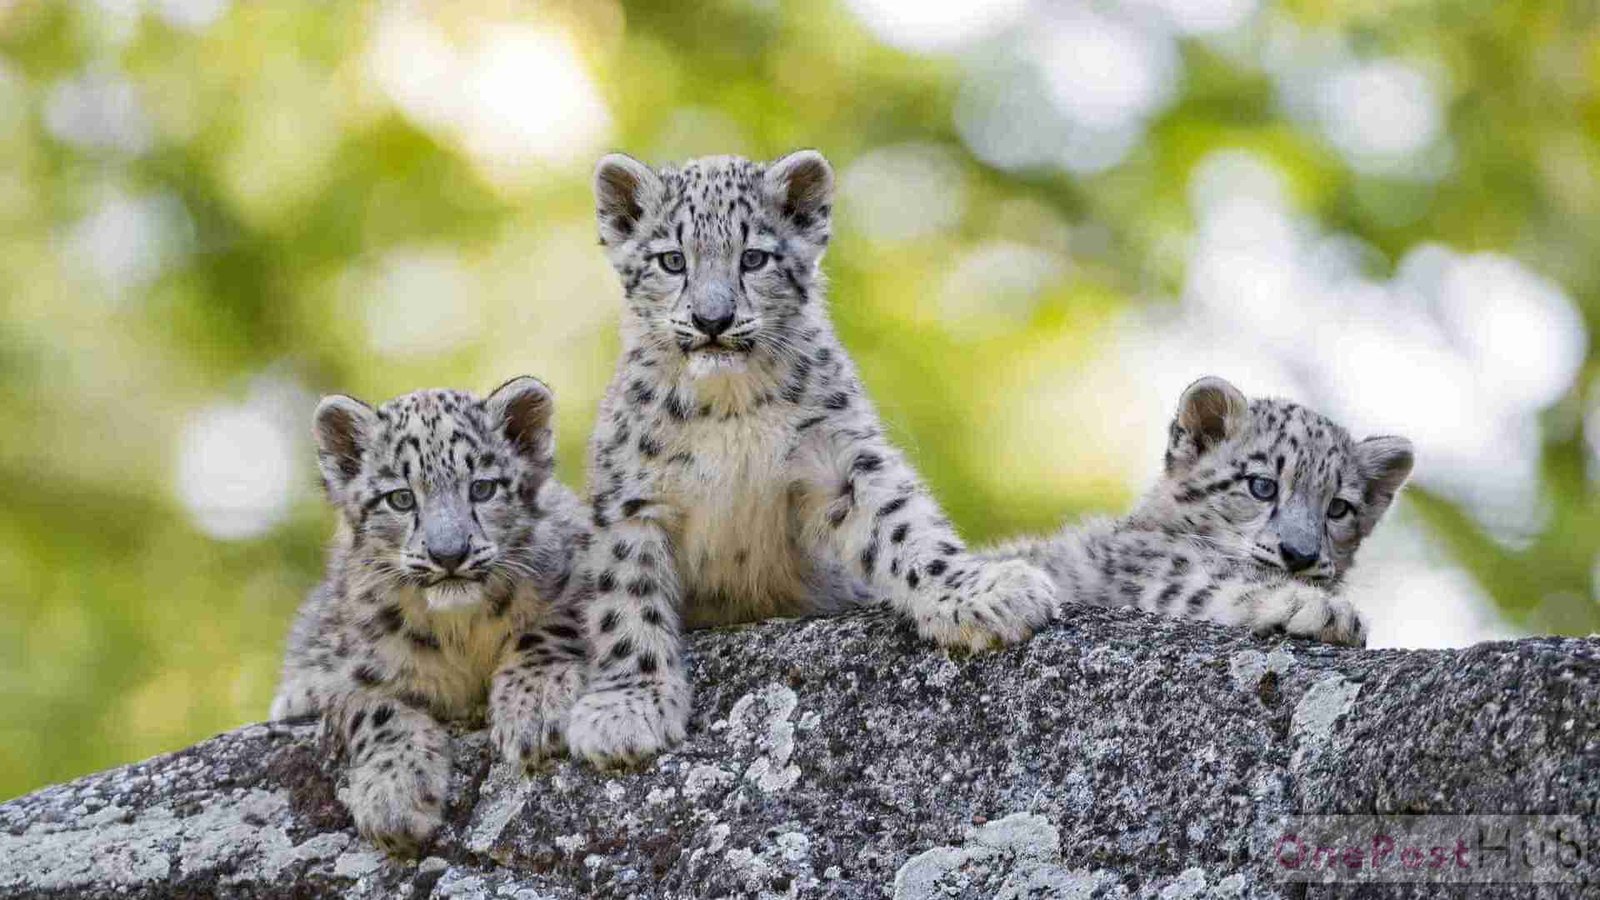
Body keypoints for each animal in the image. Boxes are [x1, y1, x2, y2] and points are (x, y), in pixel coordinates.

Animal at [269, 377, 592, 854]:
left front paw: (534, 706)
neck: (461, 630)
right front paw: (394, 797)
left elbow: (551, 625)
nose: (449, 553)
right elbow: (372, 707)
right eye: (401, 498)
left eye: (482, 488)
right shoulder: (343, 669)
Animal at [564, 150, 1057, 765]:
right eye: (672, 260)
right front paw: (627, 710)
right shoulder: (633, 498)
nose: (711, 320)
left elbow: (904, 526)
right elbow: (627, 597)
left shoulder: (841, 457)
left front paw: (982, 593)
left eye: (753, 257)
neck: (728, 407)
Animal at [984, 376, 1414, 647]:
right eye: (1262, 486)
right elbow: (1211, 585)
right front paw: (1326, 610)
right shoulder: (1154, 572)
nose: (1299, 554)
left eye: (1338, 508)